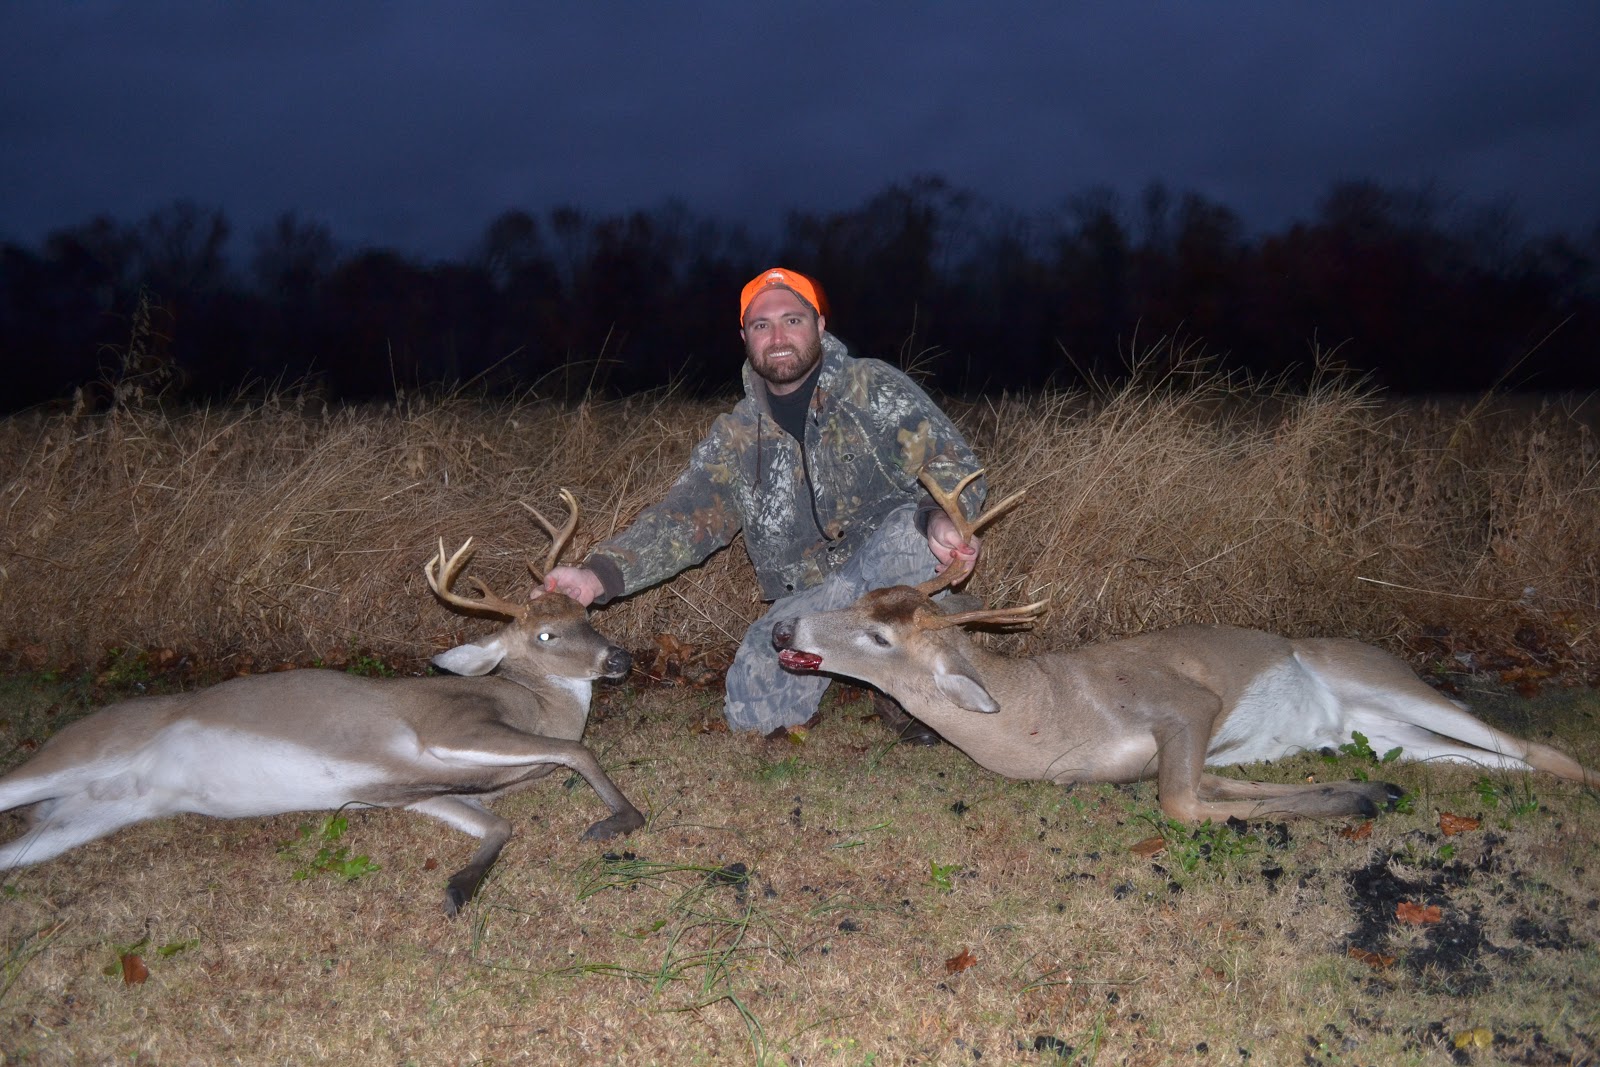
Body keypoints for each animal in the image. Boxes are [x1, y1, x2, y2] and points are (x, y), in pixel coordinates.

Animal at [0, 490, 645, 915]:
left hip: (90, 814)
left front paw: (459, 887)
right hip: (79, 753)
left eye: (586, 614)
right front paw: (618, 819)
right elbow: (575, 752)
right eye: (545, 636)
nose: (619, 659)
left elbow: (501, 823)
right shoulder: (449, 725)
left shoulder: (417, 792)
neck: (533, 700)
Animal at [772, 470, 1600, 823]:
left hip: (1387, 677)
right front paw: (1366, 790)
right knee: (1497, 758)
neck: (1046, 718)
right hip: (1387, 727)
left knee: (1539, 749)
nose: (784, 630)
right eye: (858, 601)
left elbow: (1180, 804)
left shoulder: (1187, 702)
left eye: (879, 634)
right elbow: (1215, 790)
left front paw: (1357, 797)